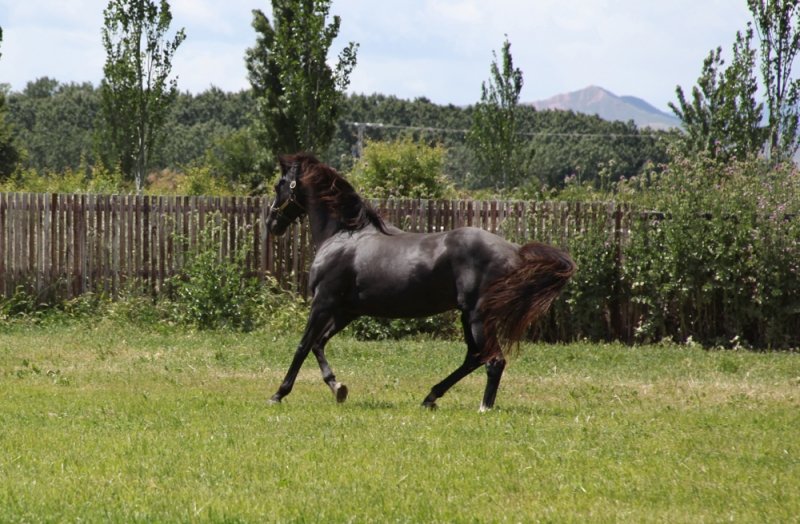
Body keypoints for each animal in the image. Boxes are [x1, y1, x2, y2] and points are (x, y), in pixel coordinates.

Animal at [266, 153, 576, 410]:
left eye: (280, 184)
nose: (271, 223)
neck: (343, 236)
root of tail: (514, 250)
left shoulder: (323, 302)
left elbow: (303, 346)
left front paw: (278, 394)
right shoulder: (346, 311)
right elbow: (318, 344)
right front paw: (338, 388)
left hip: (478, 315)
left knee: (493, 360)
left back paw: (483, 407)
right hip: (467, 315)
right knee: (474, 357)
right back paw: (430, 398)